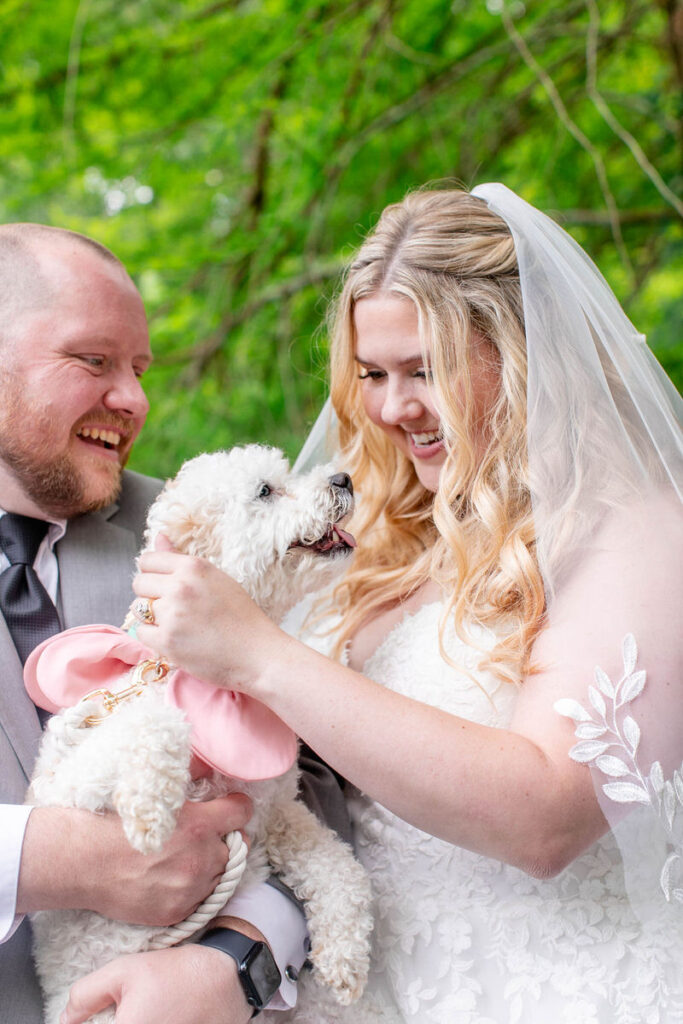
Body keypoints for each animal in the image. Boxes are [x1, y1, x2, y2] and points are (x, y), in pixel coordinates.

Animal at [25, 446, 374, 1024]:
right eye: (265, 491)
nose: (344, 478)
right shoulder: (69, 791)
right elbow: (155, 722)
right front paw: (149, 815)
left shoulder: (275, 812)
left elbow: (338, 867)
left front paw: (346, 952)